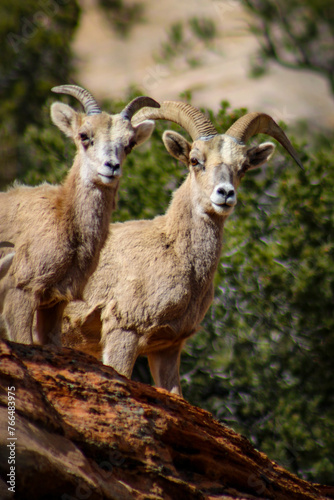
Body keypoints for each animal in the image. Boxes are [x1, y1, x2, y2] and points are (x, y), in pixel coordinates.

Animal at [62, 101, 302, 396]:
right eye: (195, 160)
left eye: (243, 166)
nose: (225, 194)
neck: (177, 255)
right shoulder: (124, 332)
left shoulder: (168, 347)